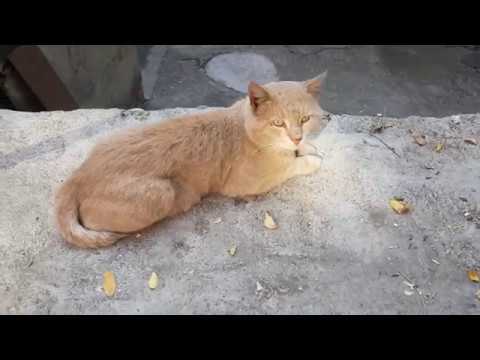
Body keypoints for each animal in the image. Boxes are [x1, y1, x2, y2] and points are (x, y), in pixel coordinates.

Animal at [55, 73, 330, 248]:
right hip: (161, 192)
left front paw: (307, 146)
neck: (244, 125)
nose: (296, 137)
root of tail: (78, 176)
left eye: (305, 119)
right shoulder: (246, 183)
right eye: (278, 123)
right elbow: (292, 165)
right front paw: (311, 158)